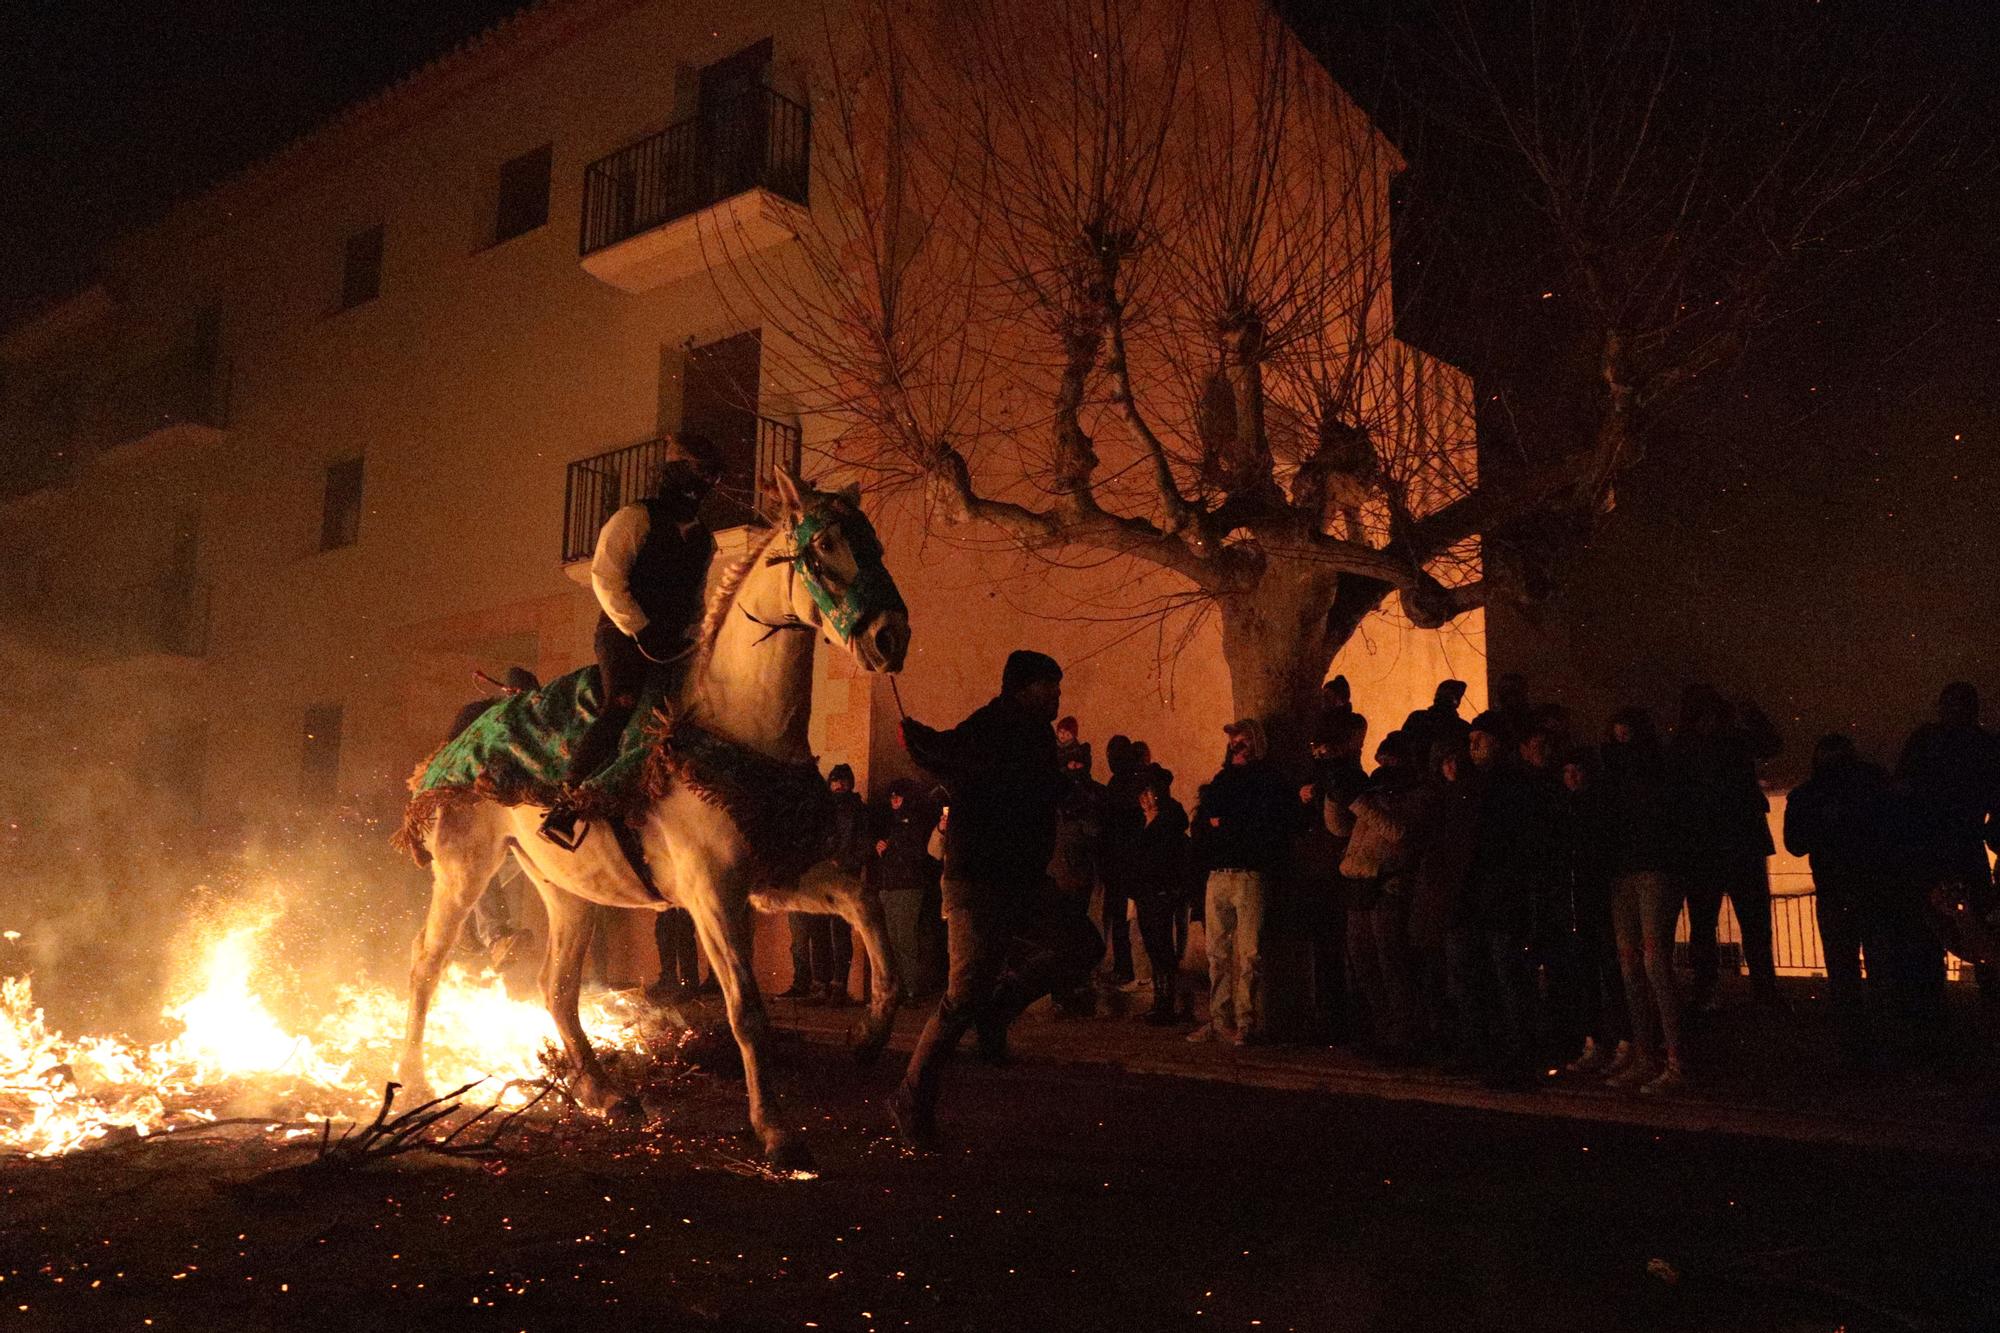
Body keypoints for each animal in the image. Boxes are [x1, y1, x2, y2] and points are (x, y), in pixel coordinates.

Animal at [398, 466, 916, 1160]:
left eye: (875, 544)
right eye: (824, 547)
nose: (892, 636)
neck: (733, 727)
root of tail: (467, 731)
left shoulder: (773, 882)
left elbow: (866, 907)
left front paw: (869, 1035)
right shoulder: (711, 894)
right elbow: (747, 1012)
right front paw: (775, 1130)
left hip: (568, 890)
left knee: (557, 987)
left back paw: (601, 1092)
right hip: (464, 869)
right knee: (427, 963)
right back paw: (415, 1079)